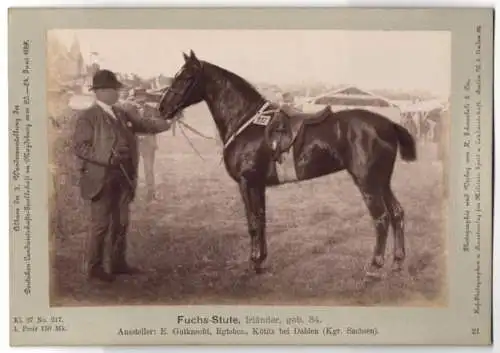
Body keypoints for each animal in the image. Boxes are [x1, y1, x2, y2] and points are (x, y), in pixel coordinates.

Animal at [158, 51, 416, 280]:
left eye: (186, 77)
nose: (162, 108)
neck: (245, 121)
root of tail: (389, 124)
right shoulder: (258, 185)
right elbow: (261, 219)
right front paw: (261, 261)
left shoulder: (247, 182)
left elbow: (253, 223)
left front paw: (253, 264)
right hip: (382, 181)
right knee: (397, 213)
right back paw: (397, 263)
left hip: (367, 182)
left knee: (381, 218)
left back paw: (374, 267)